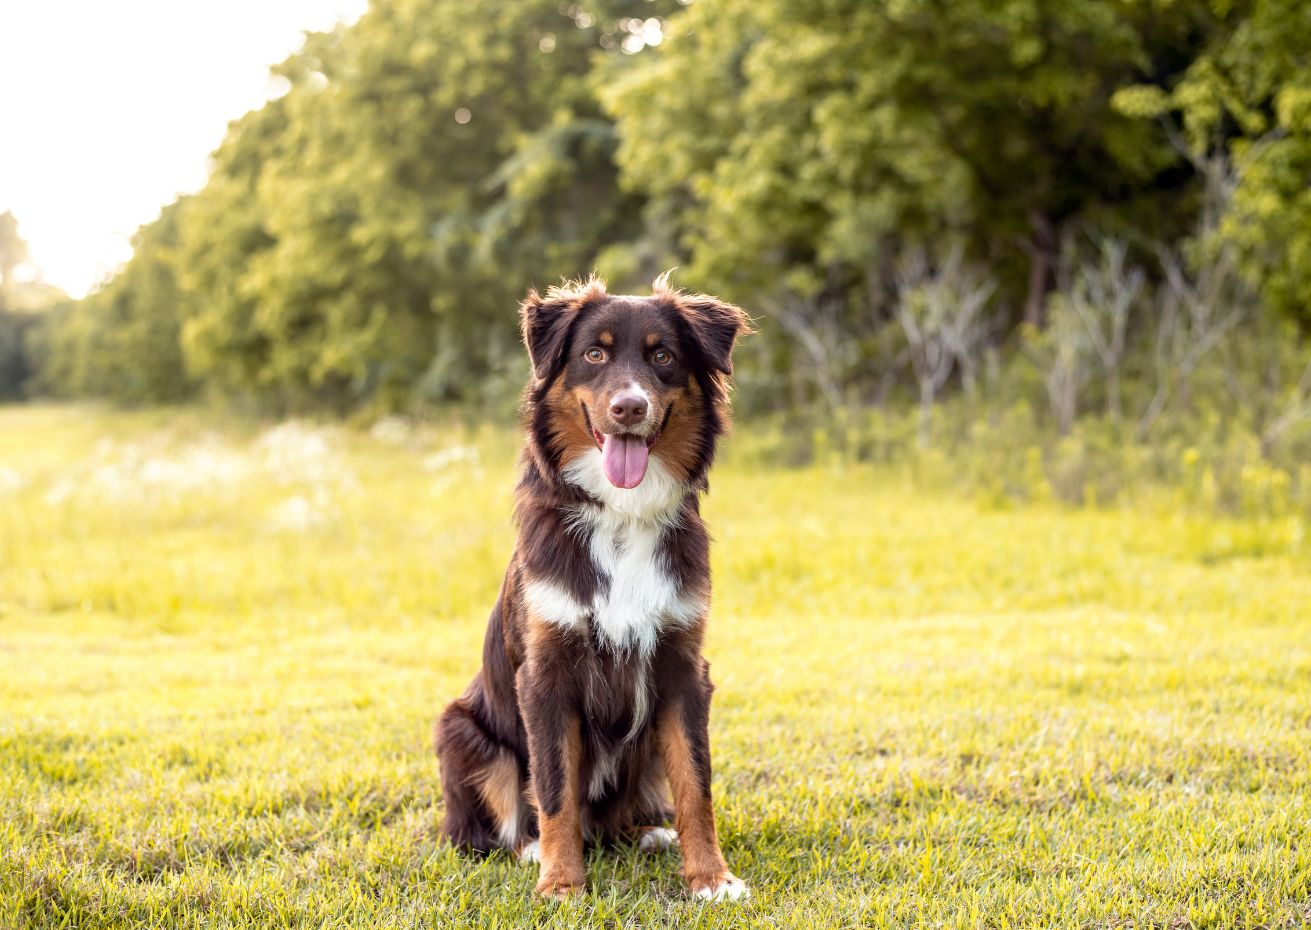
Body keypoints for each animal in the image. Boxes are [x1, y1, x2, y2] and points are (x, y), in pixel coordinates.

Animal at [435, 271, 755, 897]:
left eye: (662, 356)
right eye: (594, 354)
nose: (629, 407)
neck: (621, 514)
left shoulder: (683, 666)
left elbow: (695, 784)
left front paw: (710, 878)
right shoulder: (545, 674)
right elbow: (555, 789)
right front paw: (562, 884)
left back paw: (648, 834)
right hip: (462, 731)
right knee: (492, 830)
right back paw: (532, 849)